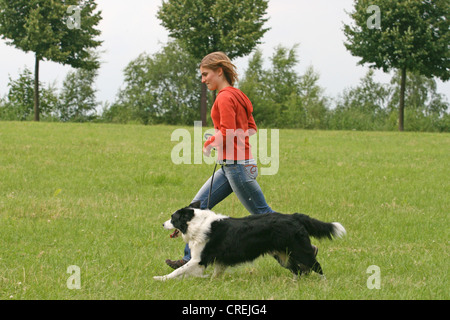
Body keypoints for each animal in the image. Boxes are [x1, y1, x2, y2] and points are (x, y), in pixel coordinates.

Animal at [153, 201, 346, 282]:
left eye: (172, 218)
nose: (162, 224)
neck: (195, 223)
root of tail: (293, 216)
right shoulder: (218, 260)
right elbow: (215, 273)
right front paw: (212, 282)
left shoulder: (199, 258)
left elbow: (178, 271)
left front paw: (161, 278)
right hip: (283, 255)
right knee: (297, 270)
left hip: (298, 250)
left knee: (316, 265)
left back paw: (323, 284)